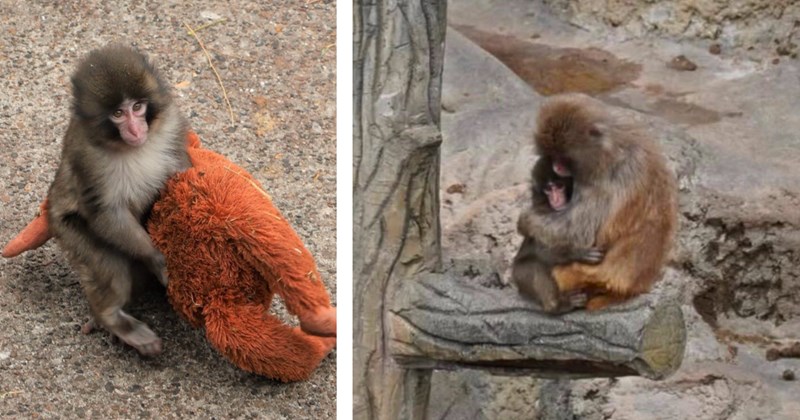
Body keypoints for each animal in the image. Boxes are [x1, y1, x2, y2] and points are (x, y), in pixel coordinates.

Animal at [46, 44, 190, 356]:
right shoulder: (87, 156)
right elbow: (105, 213)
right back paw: (112, 319)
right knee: (110, 267)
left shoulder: (171, 125)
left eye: (137, 107)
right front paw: (157, 259)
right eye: (118, 113)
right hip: (67, 231)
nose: (136, 130)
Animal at [511, 155, 604, 313]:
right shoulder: (541, 212)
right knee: (534, 265)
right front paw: (578, 252)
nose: (555, 199)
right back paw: (557, 305)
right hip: (518, 276)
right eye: (549, 189)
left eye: (559, 186)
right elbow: (543, 251)